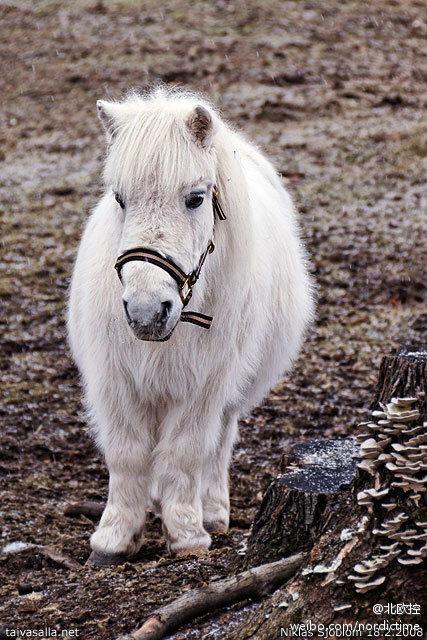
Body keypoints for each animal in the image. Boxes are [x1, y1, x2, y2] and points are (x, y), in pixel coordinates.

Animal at [67, 86, 314, 564]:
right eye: (119, 198)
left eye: (196, 198)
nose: (146, 311)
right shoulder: (115, 381)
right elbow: (126, 454)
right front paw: (114, 539)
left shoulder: (204, 384)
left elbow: (185, 452)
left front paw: (186, 535)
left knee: (219, 442)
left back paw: (213, 513)